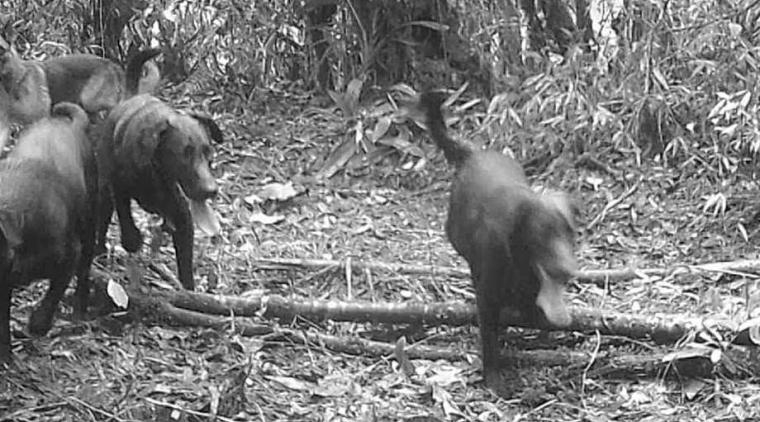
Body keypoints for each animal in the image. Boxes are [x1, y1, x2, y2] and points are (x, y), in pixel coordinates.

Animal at [0, 41, 162, 148]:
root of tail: (112, 64)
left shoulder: (40, 116)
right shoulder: (5, 123)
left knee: (117, 104)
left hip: (90, 100)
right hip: (87, 107)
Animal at [416, 90, 576, 396]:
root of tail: (474, 153)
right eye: (542, 235)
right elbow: (490, 340)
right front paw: (494, 380)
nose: (568, 271)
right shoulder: (487, 296)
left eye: (570, 234)